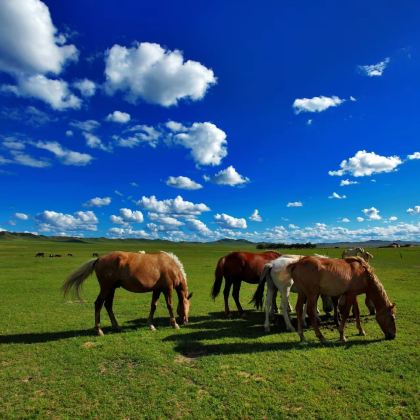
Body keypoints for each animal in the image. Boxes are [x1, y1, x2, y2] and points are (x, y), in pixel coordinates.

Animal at [61, 251, 193, 336]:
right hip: (106, 288)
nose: (186, 321)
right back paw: (99, 330)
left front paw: (150, 325)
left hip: (112, 289)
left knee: (108, 305)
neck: (172, 266)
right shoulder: (167, 289)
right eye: (188, 306)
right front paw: (174, 324)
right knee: (98, 304)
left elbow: (153, 306)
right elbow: (170, 306)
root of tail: (99, 259)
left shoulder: (157, 290)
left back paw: (116, 326)